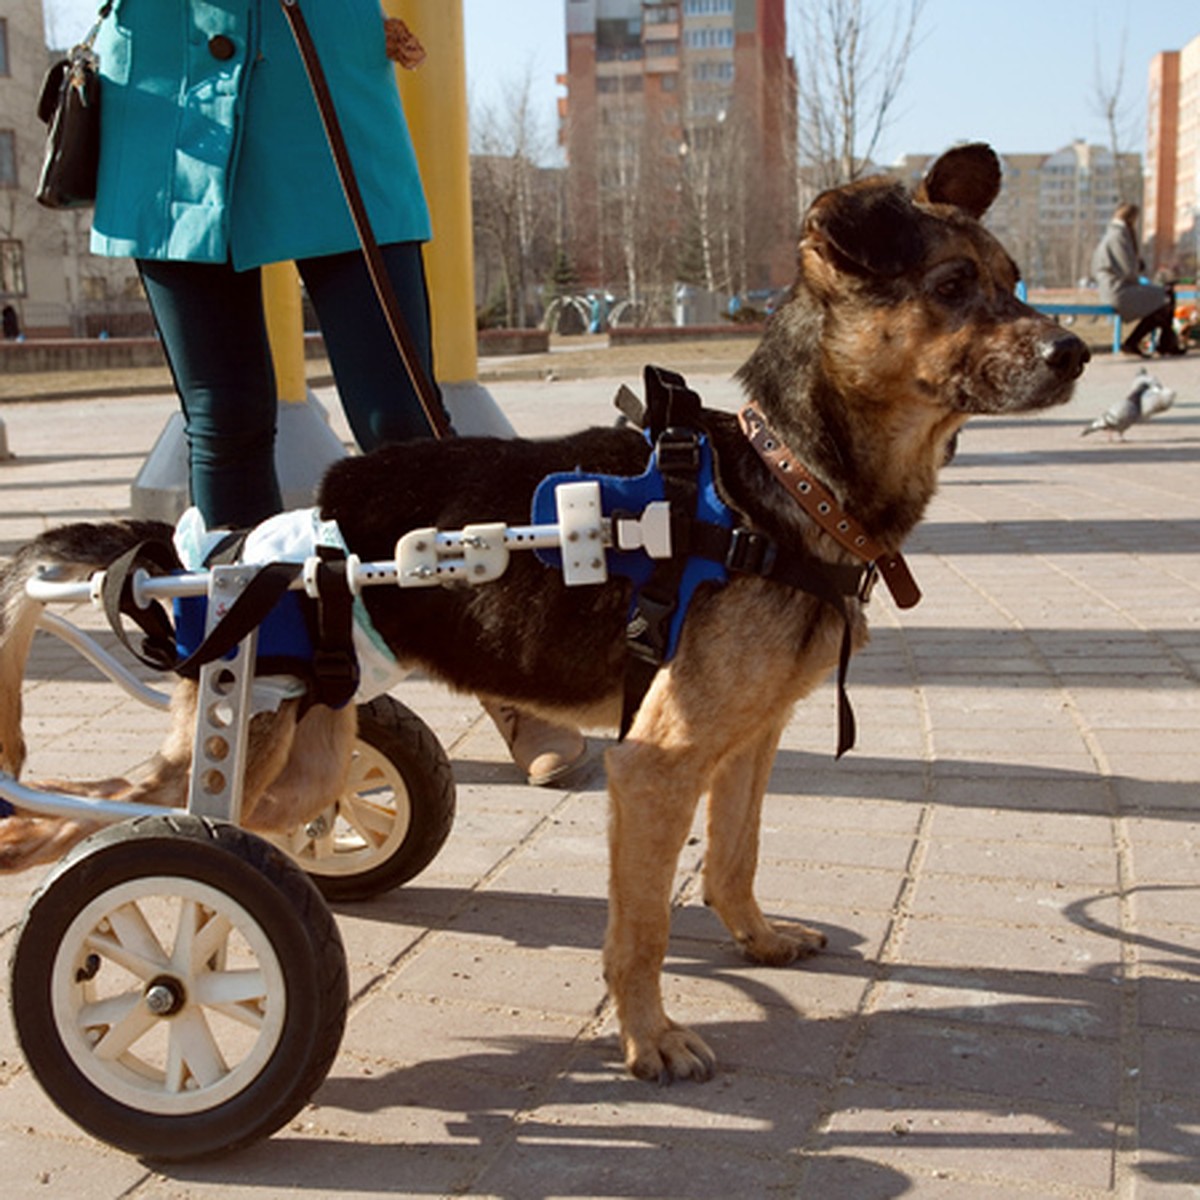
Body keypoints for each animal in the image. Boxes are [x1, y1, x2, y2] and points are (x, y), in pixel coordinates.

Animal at [0, 145, 1089, 1084]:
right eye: (951, 285)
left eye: (1016, 277)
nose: (1076, 348)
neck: (782, 481)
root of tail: (225, 552)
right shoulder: (656, 764)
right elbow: (643, 930)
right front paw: (650, 1041)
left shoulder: (749, 742)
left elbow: (734, 861)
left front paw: (758, 940)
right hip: (254, 733)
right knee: (133, 817)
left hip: (301, 759)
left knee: (187, 815)